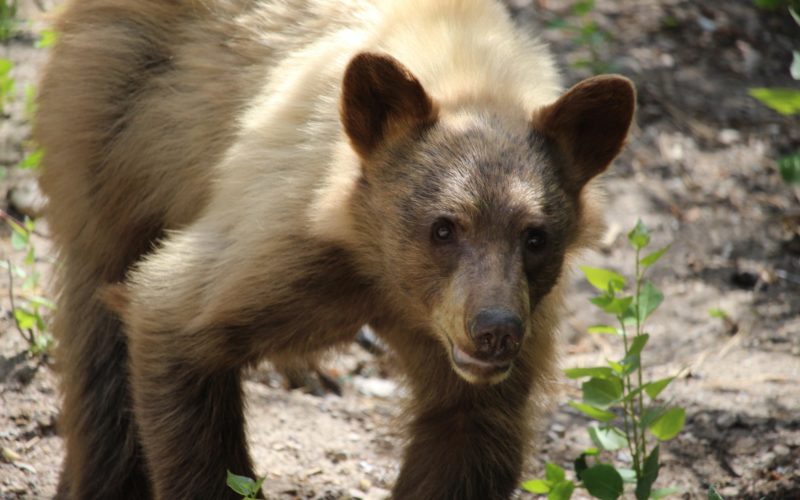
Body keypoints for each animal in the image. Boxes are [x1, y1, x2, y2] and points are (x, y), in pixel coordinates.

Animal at [34, 0, 635, 498]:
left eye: (536, 236)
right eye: (443, 228)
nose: (495, 329)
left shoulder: (508, 345)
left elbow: (467, 439)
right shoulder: (282, 233)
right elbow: (174, 311)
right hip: (117, 129)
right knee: (98, 328)